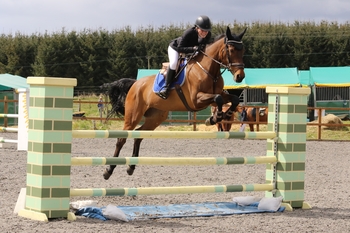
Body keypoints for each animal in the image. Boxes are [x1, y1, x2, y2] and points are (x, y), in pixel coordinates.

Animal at [102, 26, 247, 180]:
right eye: (231, 50)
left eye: (243, 50)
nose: (240, 76)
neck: (208, 70)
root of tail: (135, 84)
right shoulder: (196, 100)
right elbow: (218, 98)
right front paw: (215, 118)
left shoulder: (216, 96)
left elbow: (232, 99)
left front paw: (222, 116)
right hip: (133, 115)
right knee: (121, 139)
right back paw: (109, 170)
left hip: (156, 117)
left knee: (138, 135)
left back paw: (131, 167)